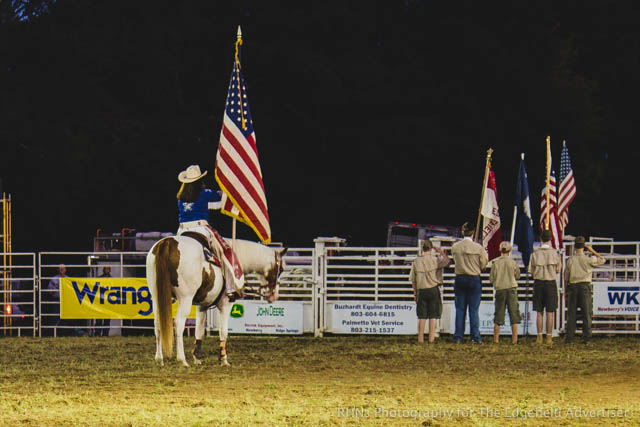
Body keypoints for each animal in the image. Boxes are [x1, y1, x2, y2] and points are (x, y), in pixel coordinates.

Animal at [146, 234, 286, 368]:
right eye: (280, 270)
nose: (274, 296)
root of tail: (168, 242)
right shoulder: (226, 303)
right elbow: (223, 331)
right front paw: (224, 359)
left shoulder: (202, 306)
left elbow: (199, 331)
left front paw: (197, 358)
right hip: (185, 298)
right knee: (179, 323)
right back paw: (182, 360)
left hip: (156, 296)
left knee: (157, 324)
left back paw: (159, 359)